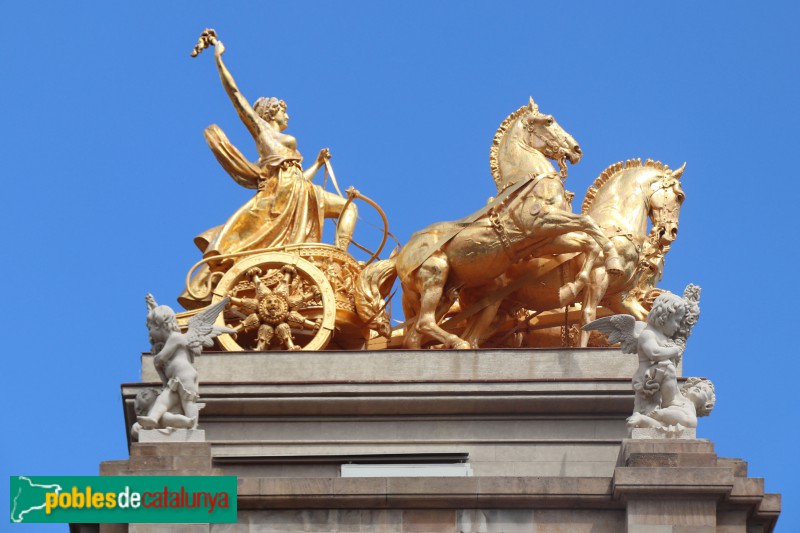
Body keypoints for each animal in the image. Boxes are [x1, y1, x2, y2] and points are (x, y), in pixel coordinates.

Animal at [356, 100, 624, 350]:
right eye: (549, 120)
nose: (576, 149)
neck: (529, 181)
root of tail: (399, 258)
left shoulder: (545, 240)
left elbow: (588, 241)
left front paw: (580, 280)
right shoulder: (542, 223)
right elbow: (588, 224)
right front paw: (609, 263)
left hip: (444, 294)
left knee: (414, 334)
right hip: (435, 273)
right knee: (425, 323)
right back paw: (459, 343)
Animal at [460, 158, 684, 348]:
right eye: (680, 196)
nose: (671, 232)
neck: (616, 224)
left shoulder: (618, 298)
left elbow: (643, 319)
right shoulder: (599, 276)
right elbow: (587, 316)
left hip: (501, 310)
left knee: (470, 339)